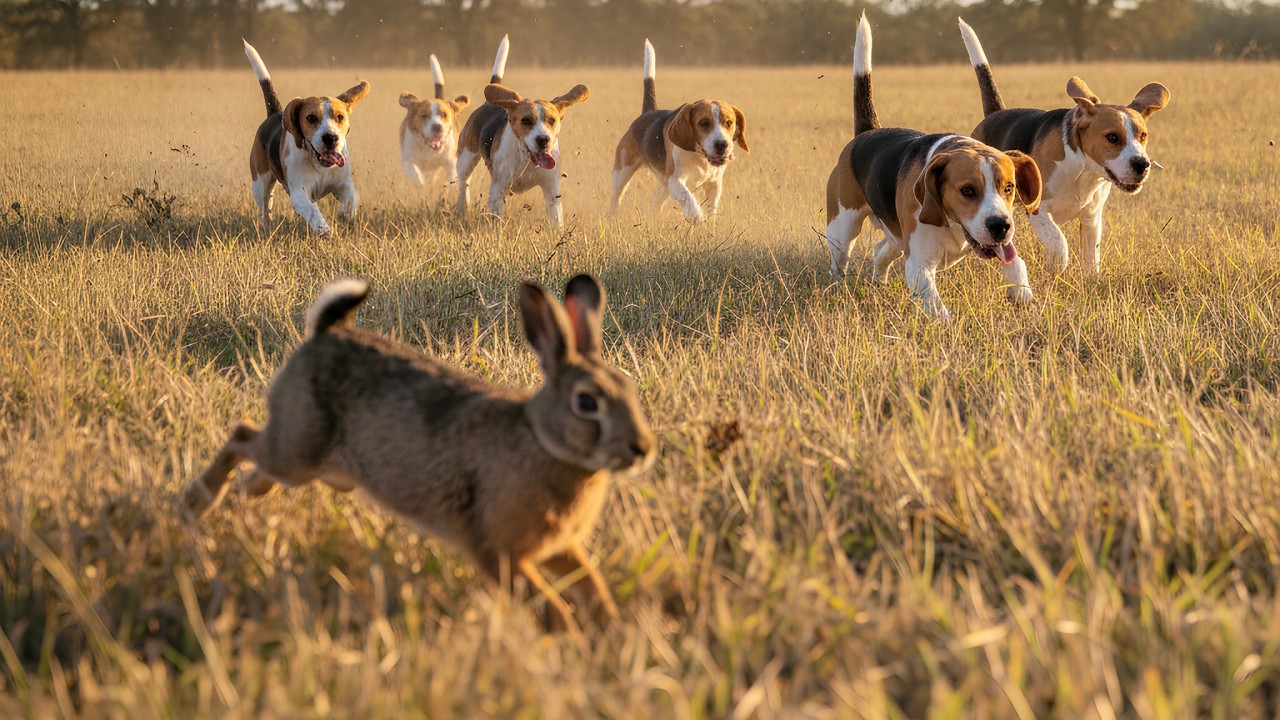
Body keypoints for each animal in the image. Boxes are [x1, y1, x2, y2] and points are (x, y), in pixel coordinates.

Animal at [180, 275, 657, 632]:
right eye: (586, 403)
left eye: (630, 389)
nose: (642, 448)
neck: (543, 440)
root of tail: (325, 334)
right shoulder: (499, 554)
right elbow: (551, 606)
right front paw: (569, 641)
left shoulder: (561, 549)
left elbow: (593, 587)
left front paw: (610, 630)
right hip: (295, 451)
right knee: (241, 436)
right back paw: (194, 505)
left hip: (308, 463)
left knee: (258, 465)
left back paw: (241, 498)